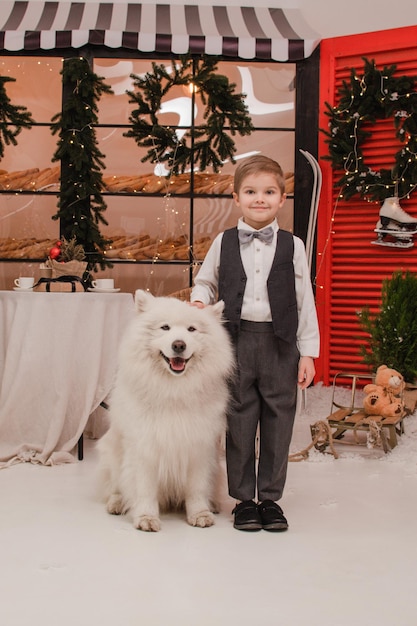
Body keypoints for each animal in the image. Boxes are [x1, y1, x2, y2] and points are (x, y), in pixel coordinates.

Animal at [97, 286, 234, 528]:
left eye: (191, 329)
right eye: (165, 327)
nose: (179, 345)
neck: (173, 391)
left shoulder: (199, 447)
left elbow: (197, 488)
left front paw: (200, 514)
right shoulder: (144, 445)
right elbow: (144, 489)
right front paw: (146, 518)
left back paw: (214, 504)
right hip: (111, 454)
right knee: (115, 486)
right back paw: (117, 503)